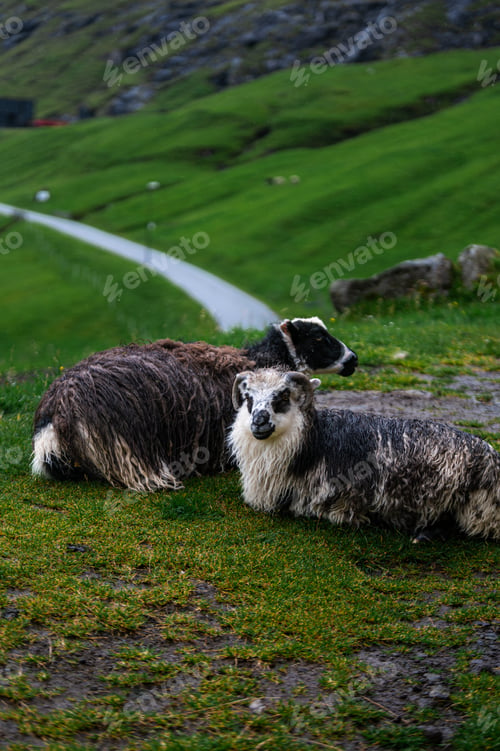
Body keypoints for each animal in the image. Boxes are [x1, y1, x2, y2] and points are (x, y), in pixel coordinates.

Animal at [229, 369, 500, 540]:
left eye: (283, 395)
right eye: (248, 397)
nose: (259, 422)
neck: (312, 442)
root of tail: (490, 457)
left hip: (475, 508)